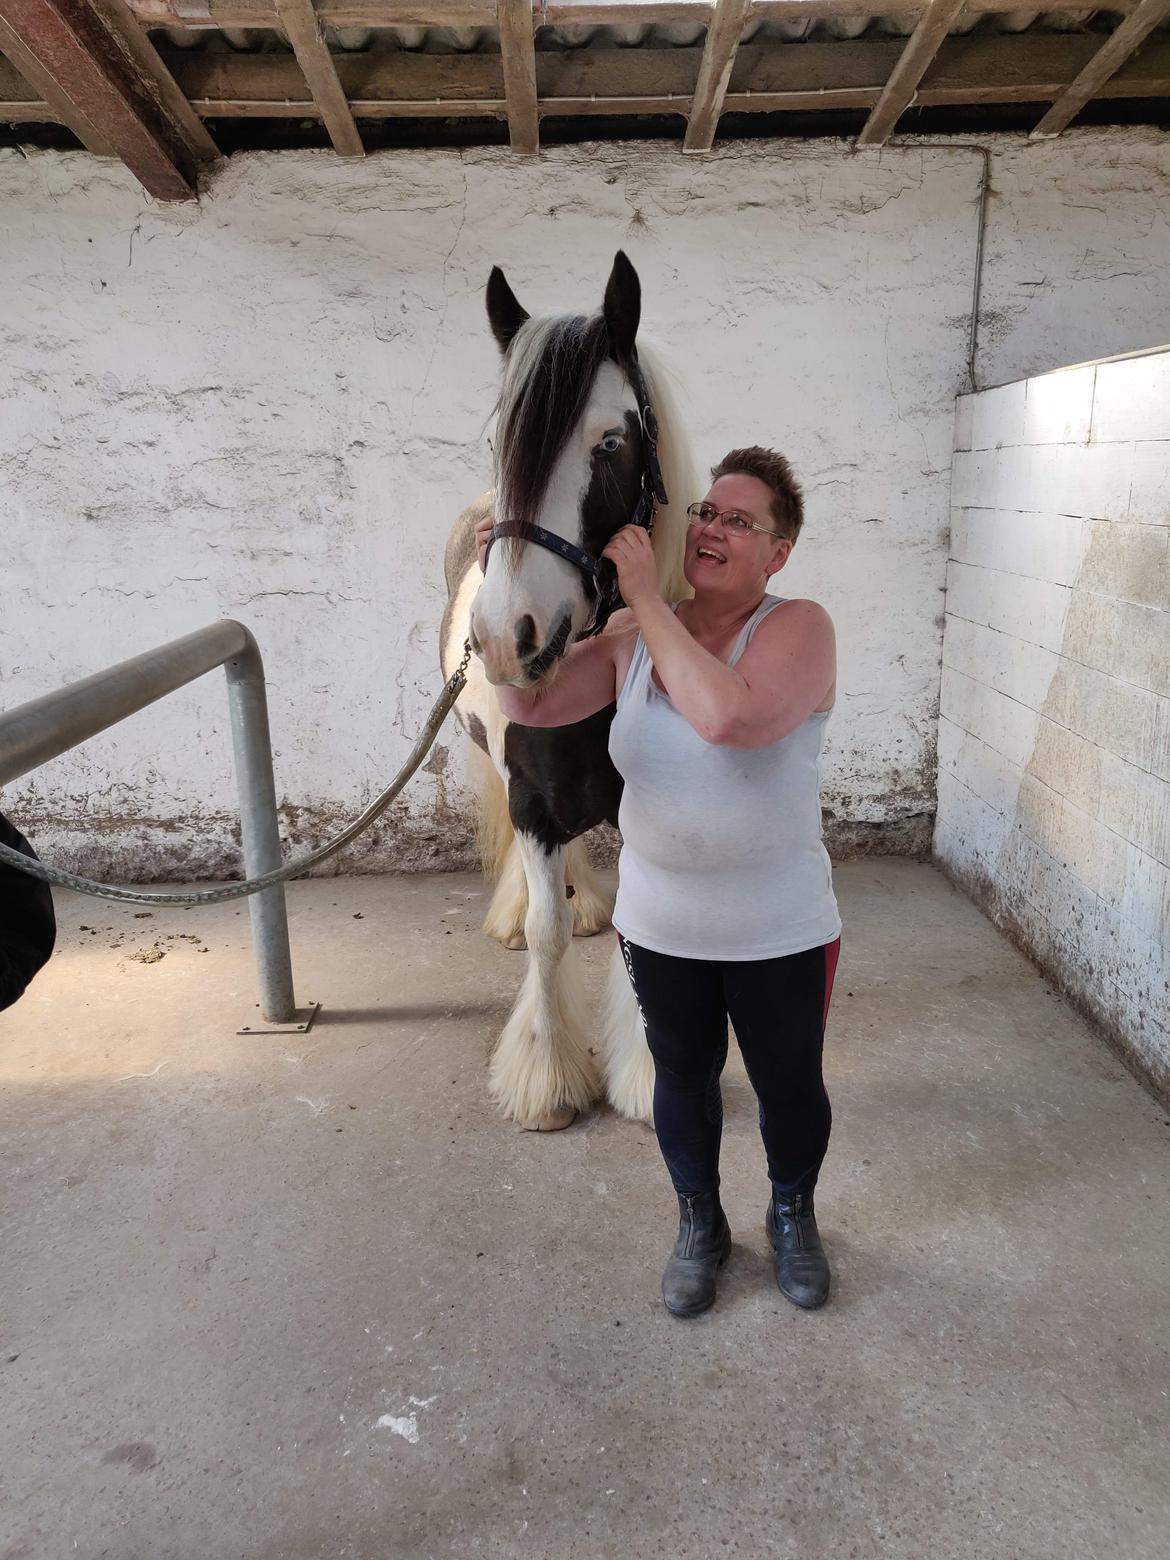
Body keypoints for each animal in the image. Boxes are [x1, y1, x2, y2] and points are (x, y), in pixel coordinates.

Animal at [439, 255, 695, 1135]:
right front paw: (546, 1078)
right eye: (501, 443)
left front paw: (651, 1075)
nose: (506, 638)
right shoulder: (528, 797)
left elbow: (642, 929)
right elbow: (549, 936)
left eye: (611, 442)